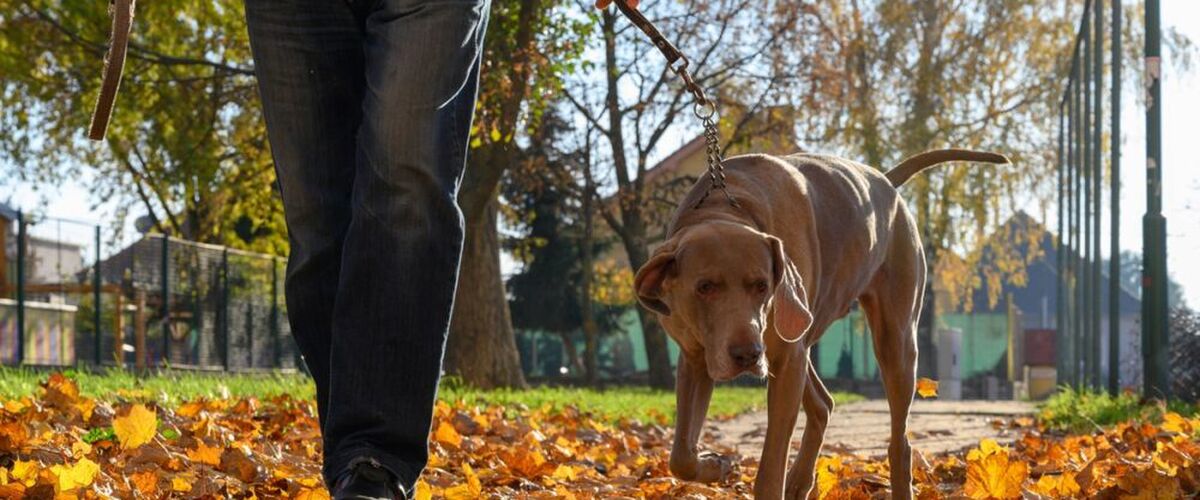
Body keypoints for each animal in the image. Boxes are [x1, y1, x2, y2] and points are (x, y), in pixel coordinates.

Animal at [633, 148, 1008, 498]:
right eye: (704, 287)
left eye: (761, 286)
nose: (747, 355)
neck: (725, 205)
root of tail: (885, 182)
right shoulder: (695, 357)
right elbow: (680, 456)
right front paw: (714, 466)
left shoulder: (785, 359)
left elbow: (771, 464)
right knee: (823, 404)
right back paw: (800, 480)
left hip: (894, 340)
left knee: (898, 441)